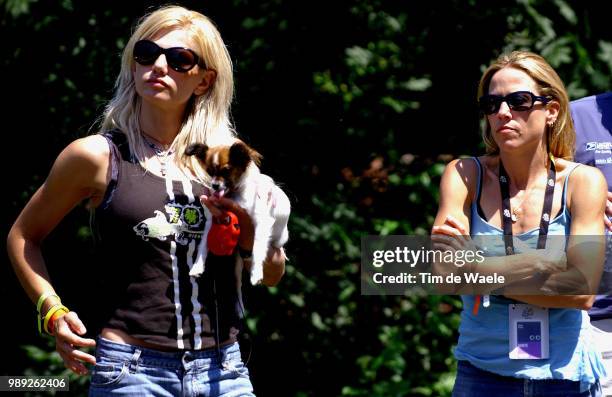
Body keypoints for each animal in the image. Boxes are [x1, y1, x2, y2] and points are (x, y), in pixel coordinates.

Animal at [185, 140, 290, 284]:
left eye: (226, 171)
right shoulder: (212, 221)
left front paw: (256, 273)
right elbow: (203, 244)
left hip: (280, 237)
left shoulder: (262, 222)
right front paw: (197, 266)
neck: (233, 194)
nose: (214, 186)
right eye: (210, 172)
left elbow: (257, 247)